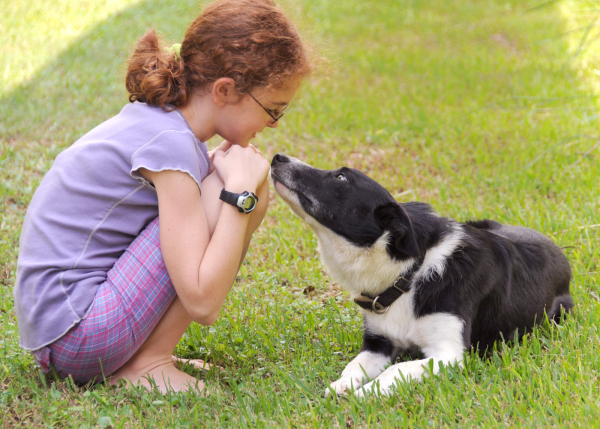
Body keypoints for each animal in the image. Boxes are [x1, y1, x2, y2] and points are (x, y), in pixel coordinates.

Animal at [270, 152, 572, 396]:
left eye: (341, 177)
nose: (276, 157)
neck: (408, 275)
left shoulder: (449, 354)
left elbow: (396, 370)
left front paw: (365, 394)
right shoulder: (378, 342)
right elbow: (355, 365)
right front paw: (342, 385)